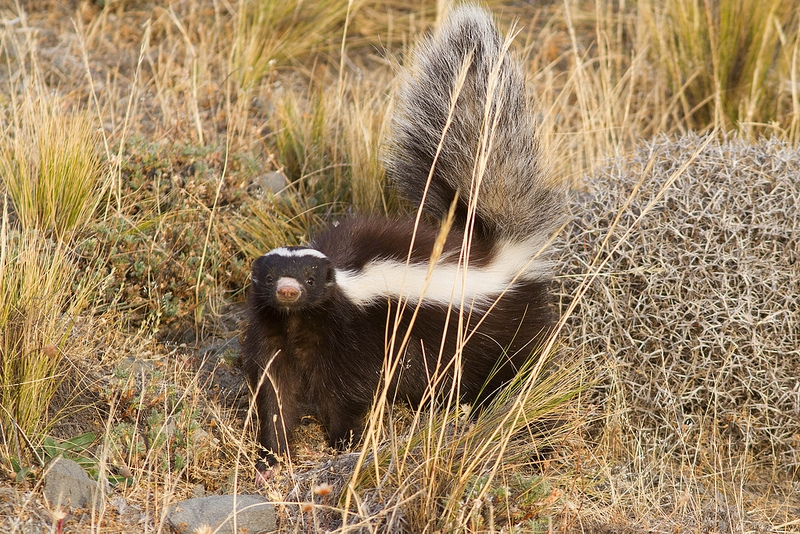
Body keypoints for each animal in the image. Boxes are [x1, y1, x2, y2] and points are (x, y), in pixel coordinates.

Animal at [242, 4, 564, 474]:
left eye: (310, 279)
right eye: (270, 278)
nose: (287, 291)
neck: (300, 324)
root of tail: (497, 252)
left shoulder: (355, 338)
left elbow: (348, 393)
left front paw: (343, 442)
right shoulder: (274, 337)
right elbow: (275, 393)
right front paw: (274, 452)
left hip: (494, 329)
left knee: (502, 369)